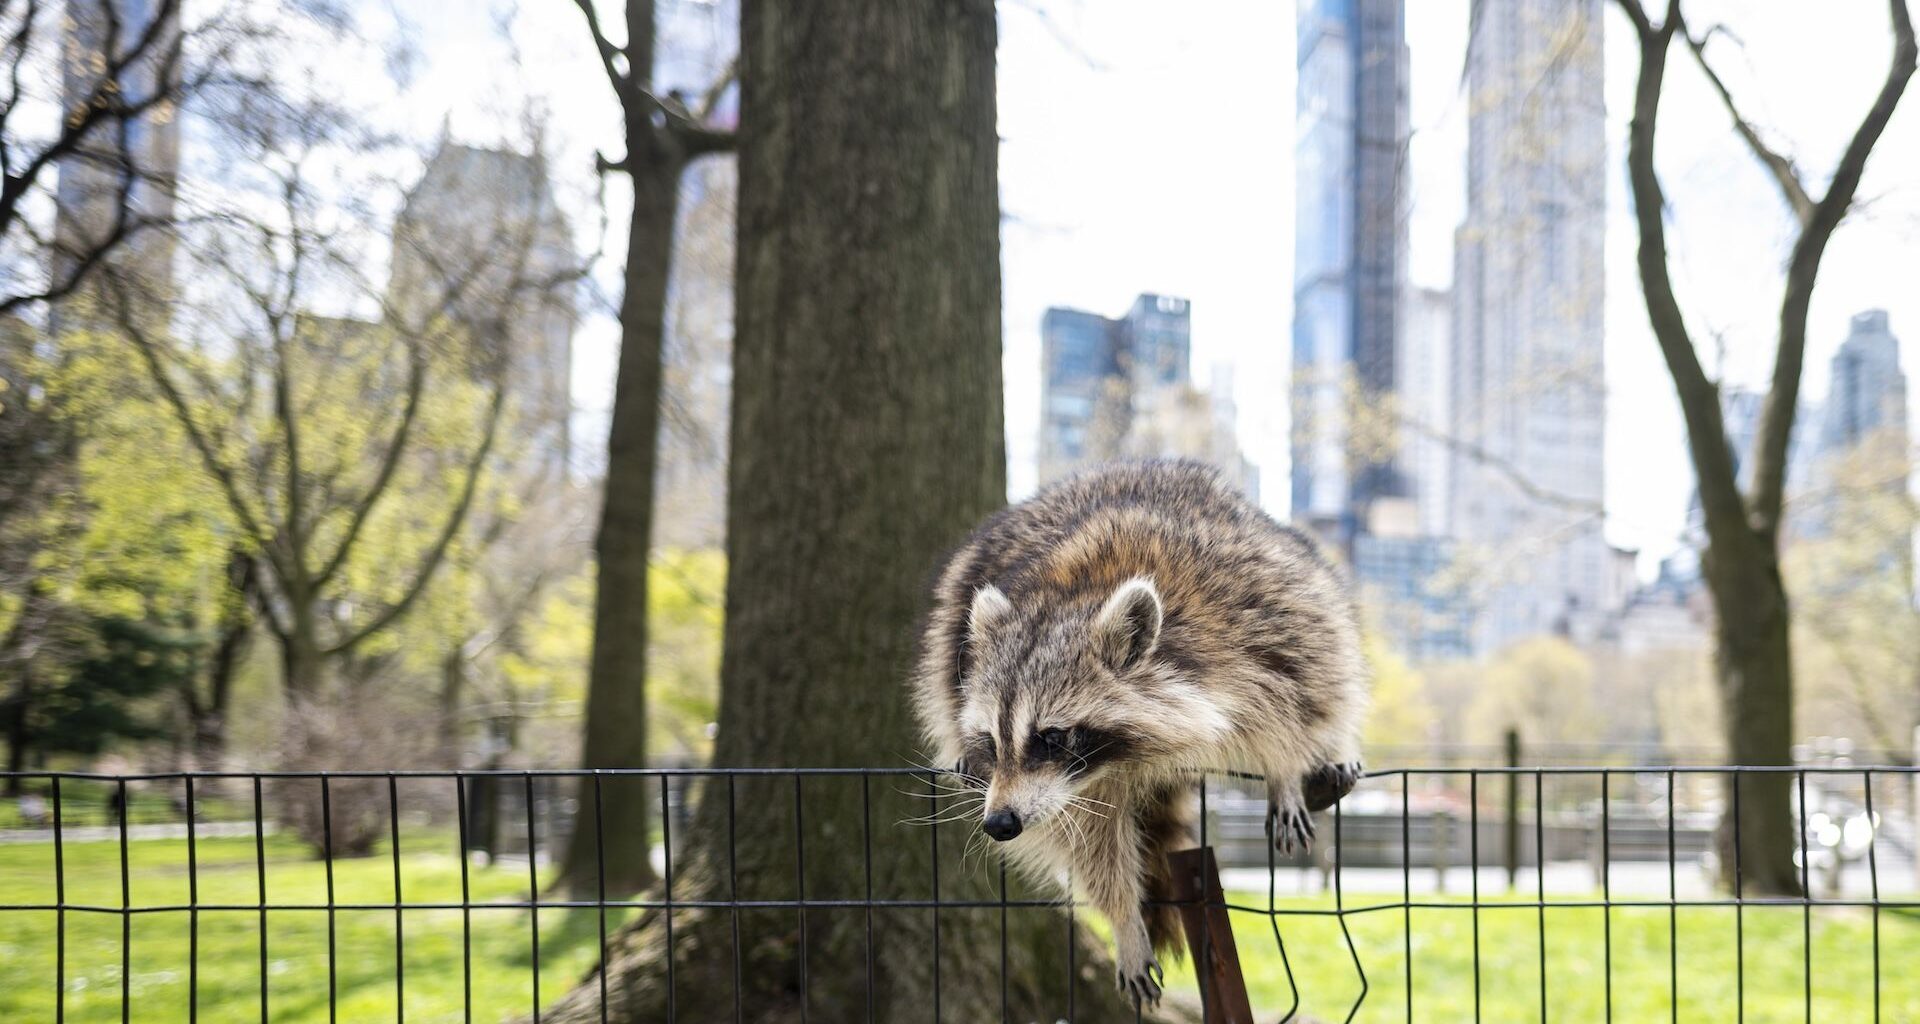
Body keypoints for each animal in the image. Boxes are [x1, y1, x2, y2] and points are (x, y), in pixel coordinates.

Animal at [911, 460, 1369, 1007]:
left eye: (1050, 736)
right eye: (991, 741)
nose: (999, 823)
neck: (1077, 594)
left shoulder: (1255, 612)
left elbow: (1298, 689)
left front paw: (1283, 767)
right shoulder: (1080, 787)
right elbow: (1093, 844)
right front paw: (1124, 919)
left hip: (1294, 567)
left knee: (1335, 658)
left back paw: (1334, 748)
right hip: (954, 616)